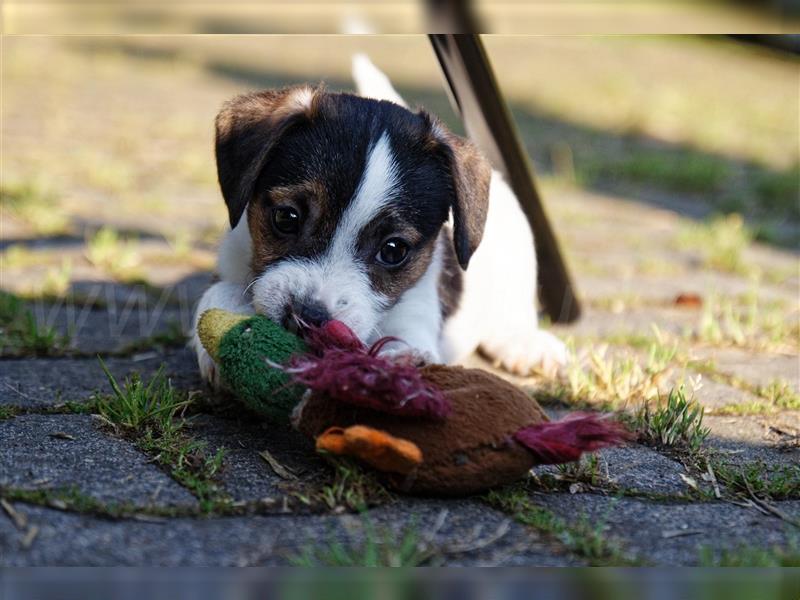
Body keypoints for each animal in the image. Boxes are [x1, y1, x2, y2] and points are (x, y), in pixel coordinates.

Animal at [192, 55, 568, 384]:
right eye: (286, 217)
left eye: (393, 250)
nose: (308, 318)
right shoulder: (230, 263)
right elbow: (219, 293)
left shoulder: (417, 307)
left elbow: (405, 338)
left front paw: (400, 363)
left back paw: (526, 344)